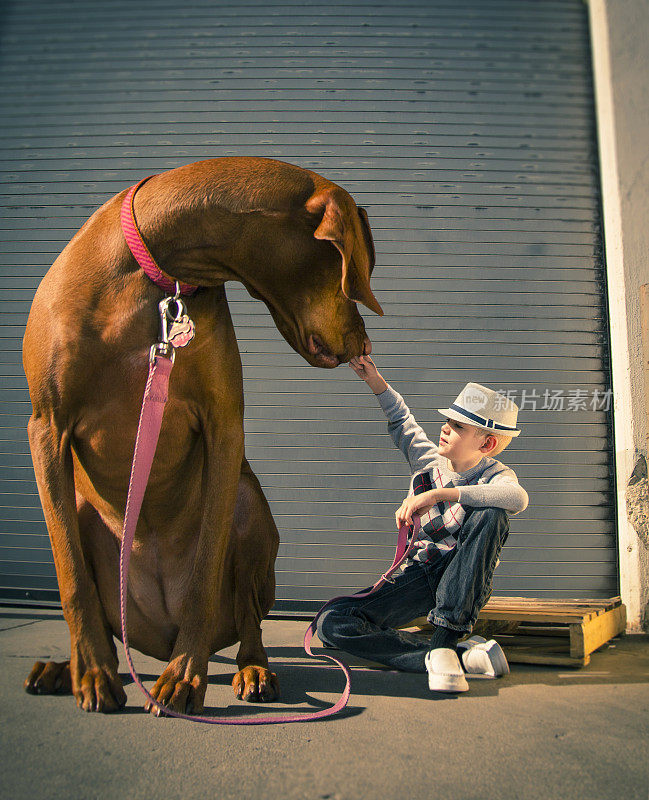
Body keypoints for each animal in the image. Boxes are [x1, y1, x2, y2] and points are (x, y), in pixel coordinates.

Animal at [22, 156, 382, 712]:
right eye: (353, 271)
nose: (365, 345)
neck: (157, 273)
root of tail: (153, 634)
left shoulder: (224, 426)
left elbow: (204, 575)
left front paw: (184, 677)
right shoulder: (46, 426)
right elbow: (70, 576)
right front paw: (93, 672)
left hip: (250, 508)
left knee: (250, 622)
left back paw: (252, 670)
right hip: (84, 510)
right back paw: (68, 668)